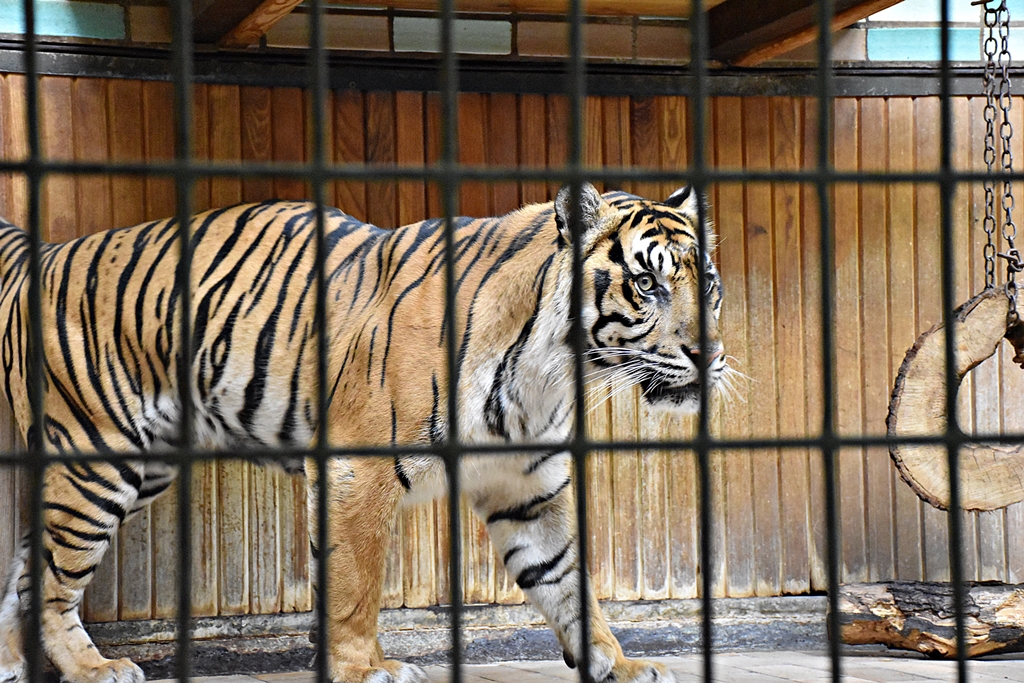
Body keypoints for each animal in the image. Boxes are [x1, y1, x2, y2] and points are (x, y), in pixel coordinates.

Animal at [0, 181, 724, 683]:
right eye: (647, 282)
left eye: (708, 283)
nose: (709, 354)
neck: (550, 366)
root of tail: (47, 253)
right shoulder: (359, 467)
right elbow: (353, 585)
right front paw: (363, 668)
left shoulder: (530, 487)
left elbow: (570, 579)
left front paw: (616, 662)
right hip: (98, 460)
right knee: (53, 582)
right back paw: (95, 668)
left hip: (130, 466)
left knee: (26, 570)